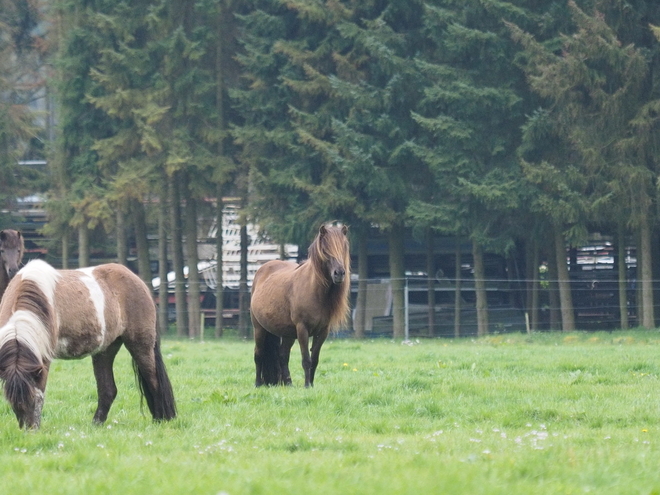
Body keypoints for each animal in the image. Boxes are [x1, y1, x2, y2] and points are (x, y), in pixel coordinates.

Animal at [0, 260, 175, 430]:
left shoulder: (43, 361)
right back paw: (96, 424)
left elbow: (41, 390)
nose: (28, 430)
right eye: (12, 402)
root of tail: (138, 281)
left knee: (154, 382)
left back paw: (160, 420)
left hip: (141, 346)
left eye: (32, 399)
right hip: (104, 351)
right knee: (108, 390)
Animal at [250, 223, 350, 390]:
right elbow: (306, 359)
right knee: (259, 354)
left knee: (283, 356)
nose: (339, 273)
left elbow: (314, 359)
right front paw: (307, 385)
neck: (315, 292)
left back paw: (288, 383)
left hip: (287, 333)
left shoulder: (323, 332)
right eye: (325, 249)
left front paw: (312, 384)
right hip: (259, 328)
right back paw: (258, 383)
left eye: (344, 247)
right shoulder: (302, 329)